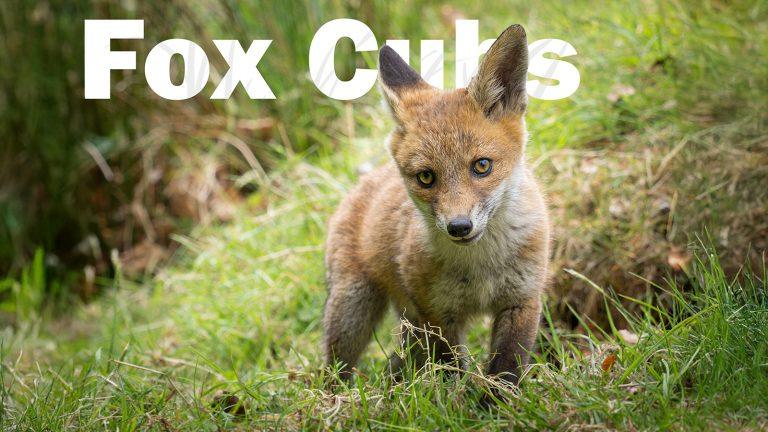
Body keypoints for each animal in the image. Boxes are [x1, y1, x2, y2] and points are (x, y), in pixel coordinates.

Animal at [323, 24, 550, 391]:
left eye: (482, 166)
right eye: (426, 177)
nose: (459, 227)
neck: (481, 265)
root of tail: (366, 180)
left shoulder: (522, 300)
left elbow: (505, 368)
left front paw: (496, 400)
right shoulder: (437, 316)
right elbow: (452, 371)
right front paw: (458, 399)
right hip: (353, 311)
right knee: (334, 369)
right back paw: (337, 397)